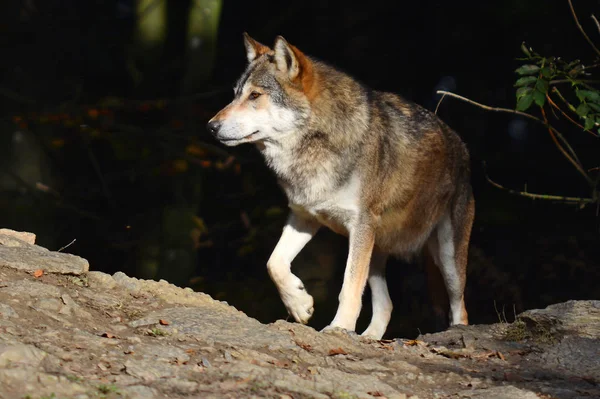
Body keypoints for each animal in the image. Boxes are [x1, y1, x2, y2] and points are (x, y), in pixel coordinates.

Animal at [206, 33, 474, 340]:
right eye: (236, 94)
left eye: (254, 96)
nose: (210, 126)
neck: (316, 145)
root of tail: (461, 145)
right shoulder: (305, 216)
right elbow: (274, 263)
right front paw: (300, 304)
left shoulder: (359, 225)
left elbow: (349, 287)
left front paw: (339, 327)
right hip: (376, 252)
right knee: (386, 305)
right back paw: (369, 339)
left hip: (447, 258)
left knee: (460, 306)